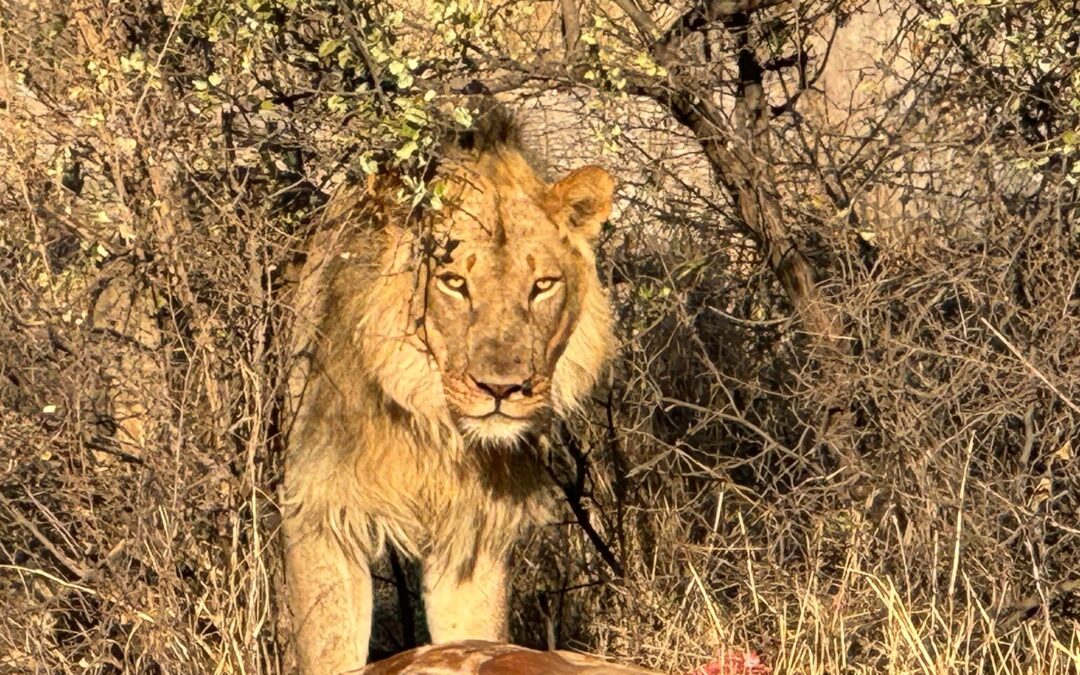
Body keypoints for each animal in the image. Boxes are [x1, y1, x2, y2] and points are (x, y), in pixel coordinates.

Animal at [282, 108, 617, 669]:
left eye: (542, 286)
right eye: (454, 282)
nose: (503, 388)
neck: (434, 430)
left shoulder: (474, 534)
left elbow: (477, 638)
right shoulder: (319, 513)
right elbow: (330, 652)